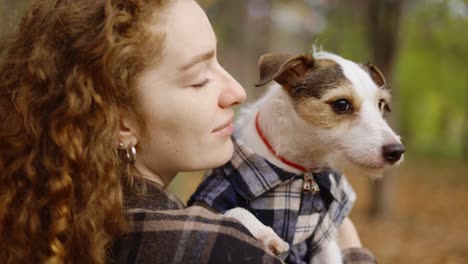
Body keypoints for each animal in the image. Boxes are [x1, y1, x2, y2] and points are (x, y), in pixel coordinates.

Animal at [188, 50, 404, 262]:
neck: (301, 169)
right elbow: (234, 212)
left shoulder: (323, 237)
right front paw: (267, 235)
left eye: (381, 103)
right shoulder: (209, 198)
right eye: (342, 104)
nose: (397, 151)